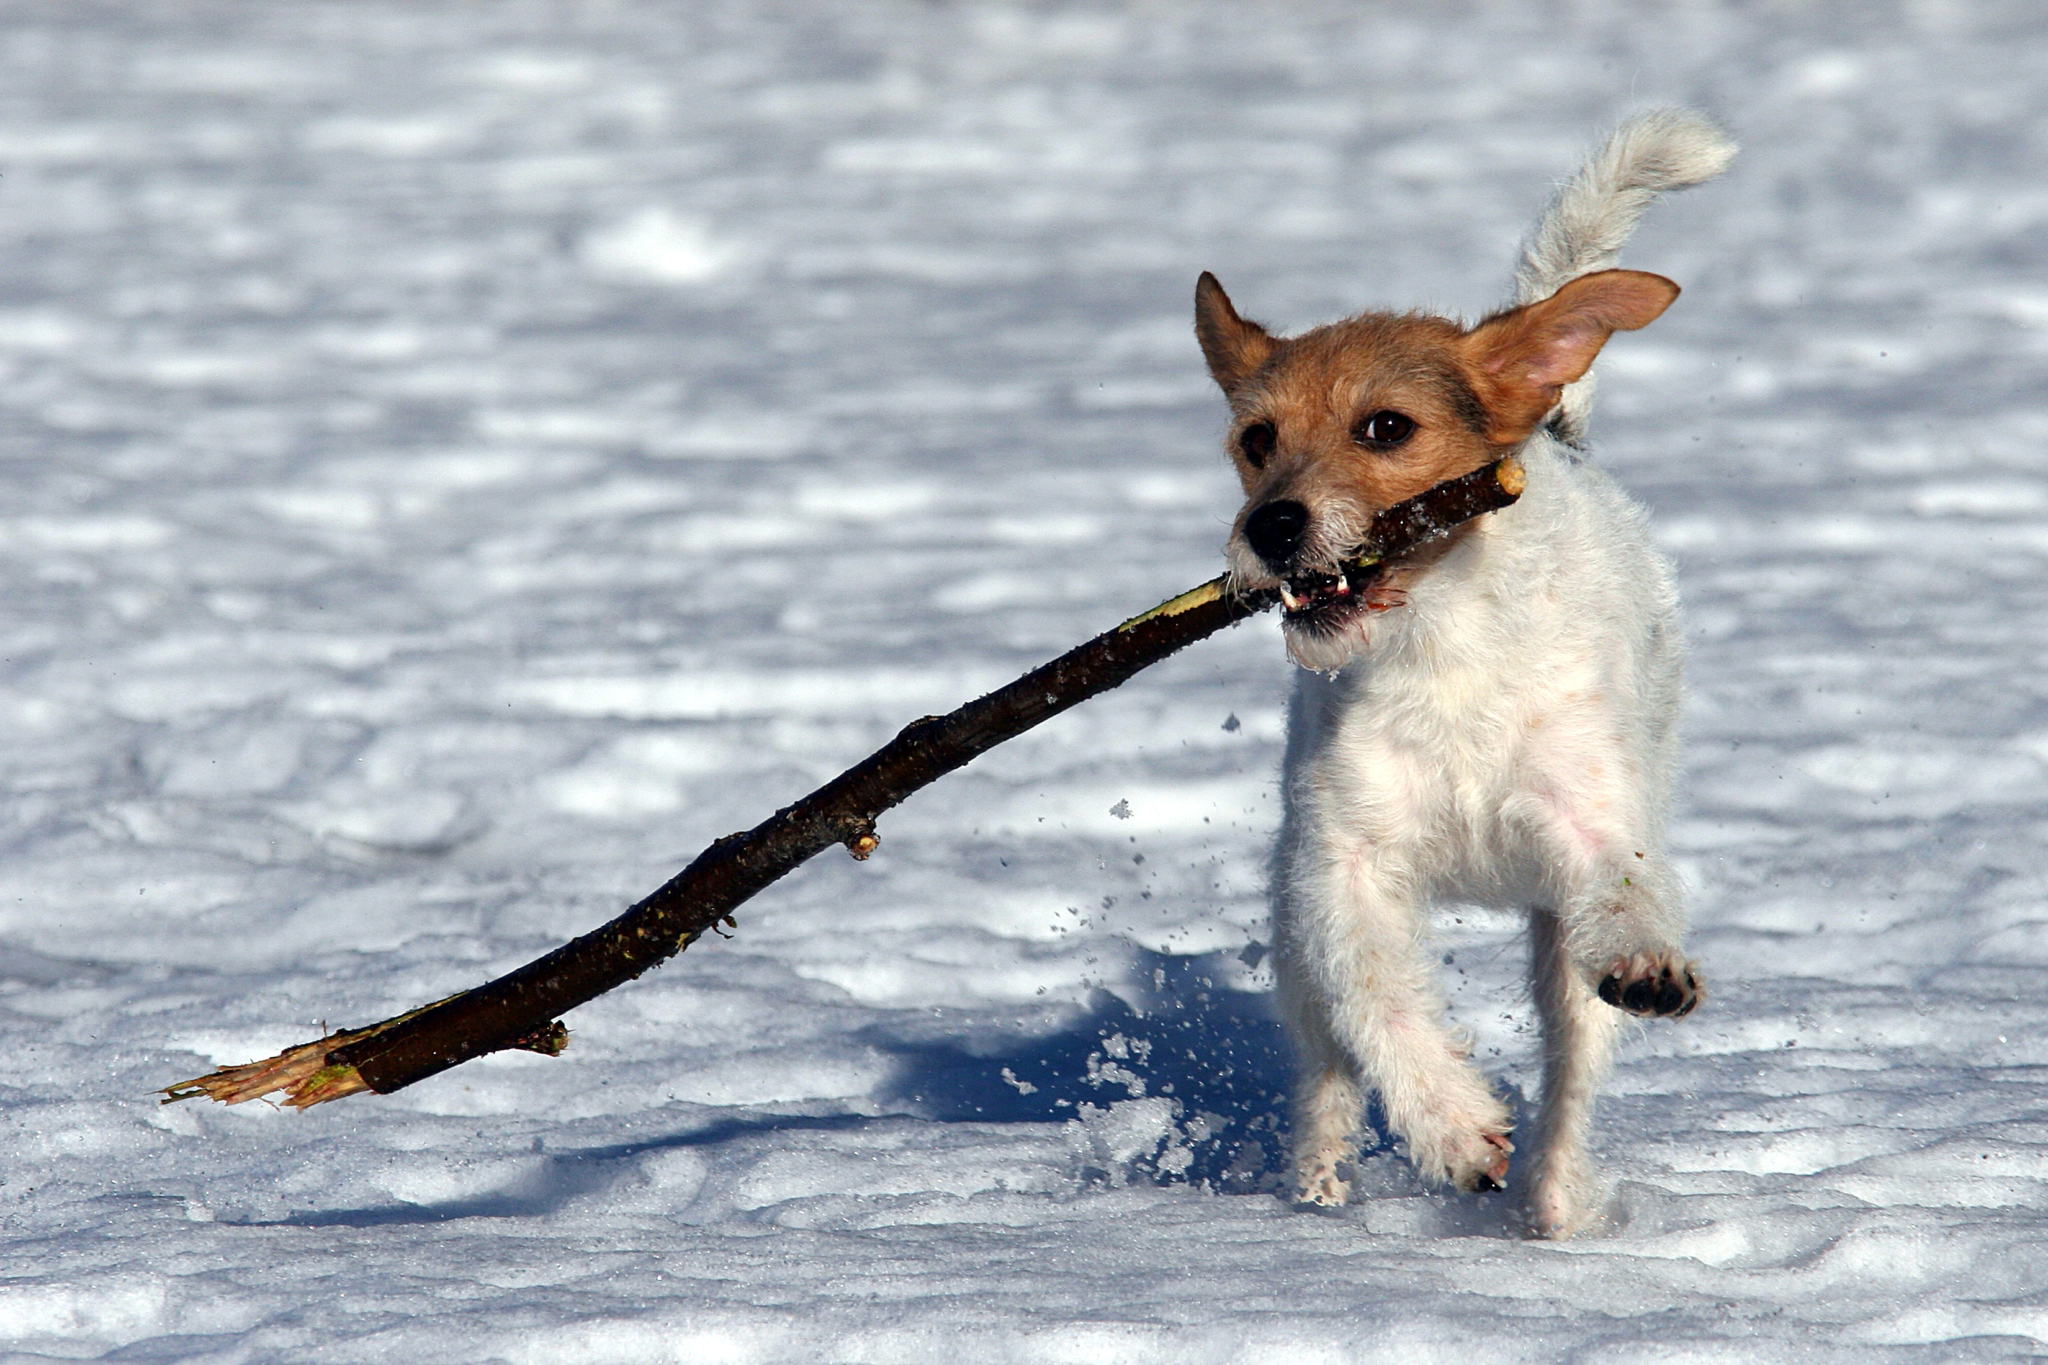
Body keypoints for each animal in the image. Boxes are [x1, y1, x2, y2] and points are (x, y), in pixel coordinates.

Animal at [1196, 109, 1736, 1236]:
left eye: (1385, 426)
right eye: (1254, 438)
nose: (1271, 527)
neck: (1441, 647)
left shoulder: (1590, 824)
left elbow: (1622, 899)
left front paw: (1647, 965)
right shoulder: (1342, 868)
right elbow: (1376, 1001)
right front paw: (1449, 1126)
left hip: (1559, 939)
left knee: (1572, 1060)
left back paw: (1552, 1204)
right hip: (1290, 923)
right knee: (1323, 1065)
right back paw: (1316, 1194)